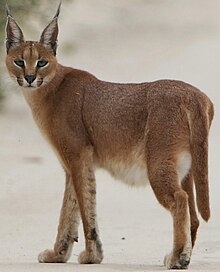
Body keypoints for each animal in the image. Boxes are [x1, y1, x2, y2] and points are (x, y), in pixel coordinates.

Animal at [5, 2, 214, 270]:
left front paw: (91, 256)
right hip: (186, 168)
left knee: (180, 199)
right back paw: (180, 255)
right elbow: (71, 208)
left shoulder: (77, 156)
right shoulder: (73, 163)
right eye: (19, 61)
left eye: (41, 62)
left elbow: (84, 208)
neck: (47, 89)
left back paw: (178, 257)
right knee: (193, 213)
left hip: (158, 162)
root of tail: (195, 94)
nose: (30, 78)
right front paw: (59, 254)